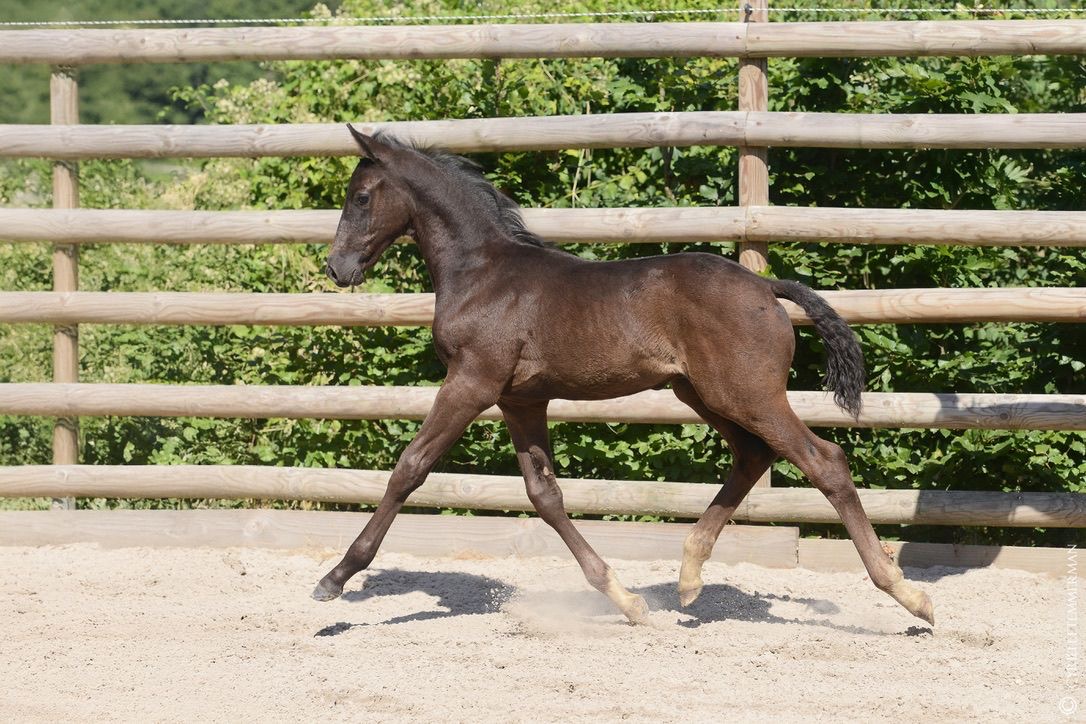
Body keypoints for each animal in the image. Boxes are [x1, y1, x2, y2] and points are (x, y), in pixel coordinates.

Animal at [312, 124, 934, 627]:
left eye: (361, 197)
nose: (337, 268)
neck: (484, 274)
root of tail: (765, 286)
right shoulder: (519, 400)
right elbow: (545, 495)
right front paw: (626, 599)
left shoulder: (472, 382)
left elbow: (410, 468)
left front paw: (335, 578)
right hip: (701, 393)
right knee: (753, 456)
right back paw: (687, 579)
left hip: (747, 394)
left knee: (824, 461)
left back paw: (908, 595)